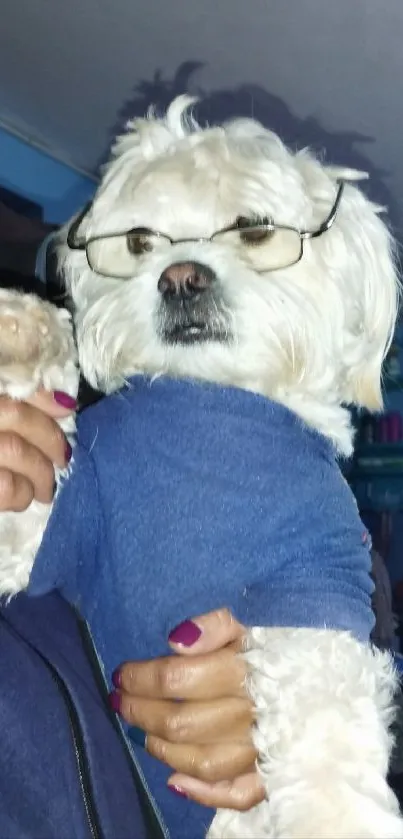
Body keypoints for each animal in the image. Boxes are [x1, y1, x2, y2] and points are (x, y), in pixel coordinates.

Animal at [0, 93, 403, 839]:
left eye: (254, 229)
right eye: (138, 241)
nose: (180, 276)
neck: (212, 415)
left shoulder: (317, 583)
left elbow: (326, 729)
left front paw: (336, 816)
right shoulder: (57, 528)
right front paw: (25, 331)